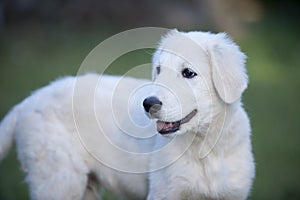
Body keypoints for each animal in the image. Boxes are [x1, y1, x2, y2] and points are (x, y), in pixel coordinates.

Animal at [0, 30, 254, 200]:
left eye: (188, 73)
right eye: (158, 70)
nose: (148, 103)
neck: (205, 146)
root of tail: (29, 100)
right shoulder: (165, 192)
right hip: (58, 179)